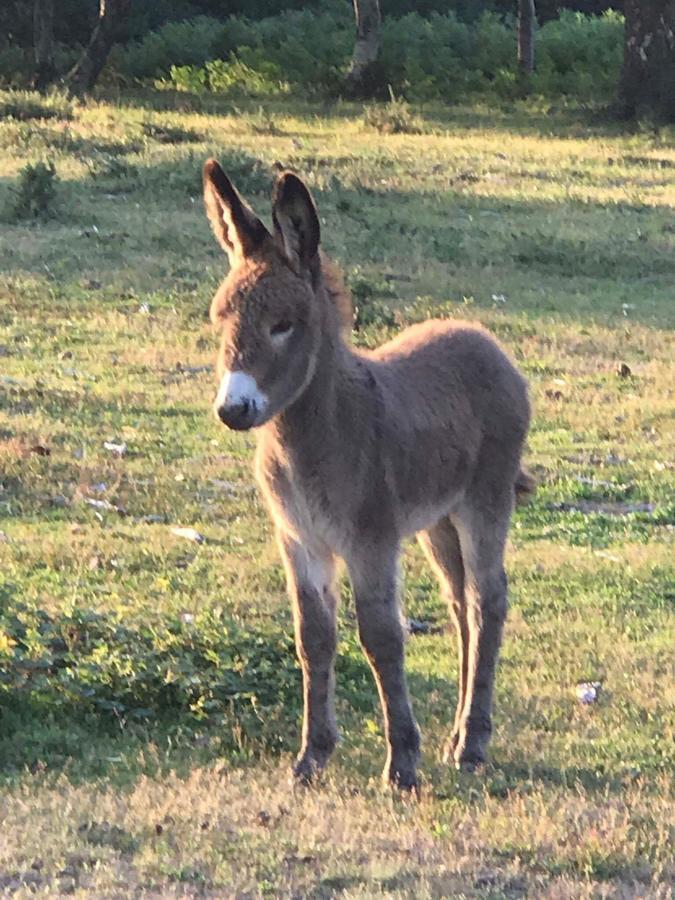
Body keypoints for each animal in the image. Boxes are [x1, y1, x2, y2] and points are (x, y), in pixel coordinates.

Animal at [203, 160, 532, 788]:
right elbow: (313, 638)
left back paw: (474, 743)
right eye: (219, 320)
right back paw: (456, 736)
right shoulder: (298, 539)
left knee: (489, 601)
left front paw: (401, 762)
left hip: (484, 499)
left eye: (284, 324)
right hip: (436, 519)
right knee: (460, 604)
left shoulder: (370, 540)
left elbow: (382, 636)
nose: (233, 409)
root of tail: (479, 334)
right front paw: (311, 757)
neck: (313, 435)